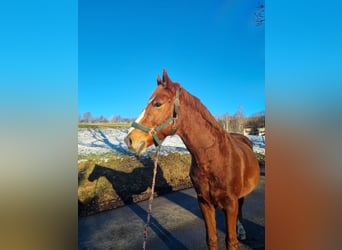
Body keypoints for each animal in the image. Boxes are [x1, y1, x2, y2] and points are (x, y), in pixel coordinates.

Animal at [125, 70, 260, 250]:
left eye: (158, 104)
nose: (129, 140)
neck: (213, 158)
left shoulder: (230, 204)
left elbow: (231, 241)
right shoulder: (204, 203)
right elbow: (212, 239)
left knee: (242, 206)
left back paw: (242, 231)